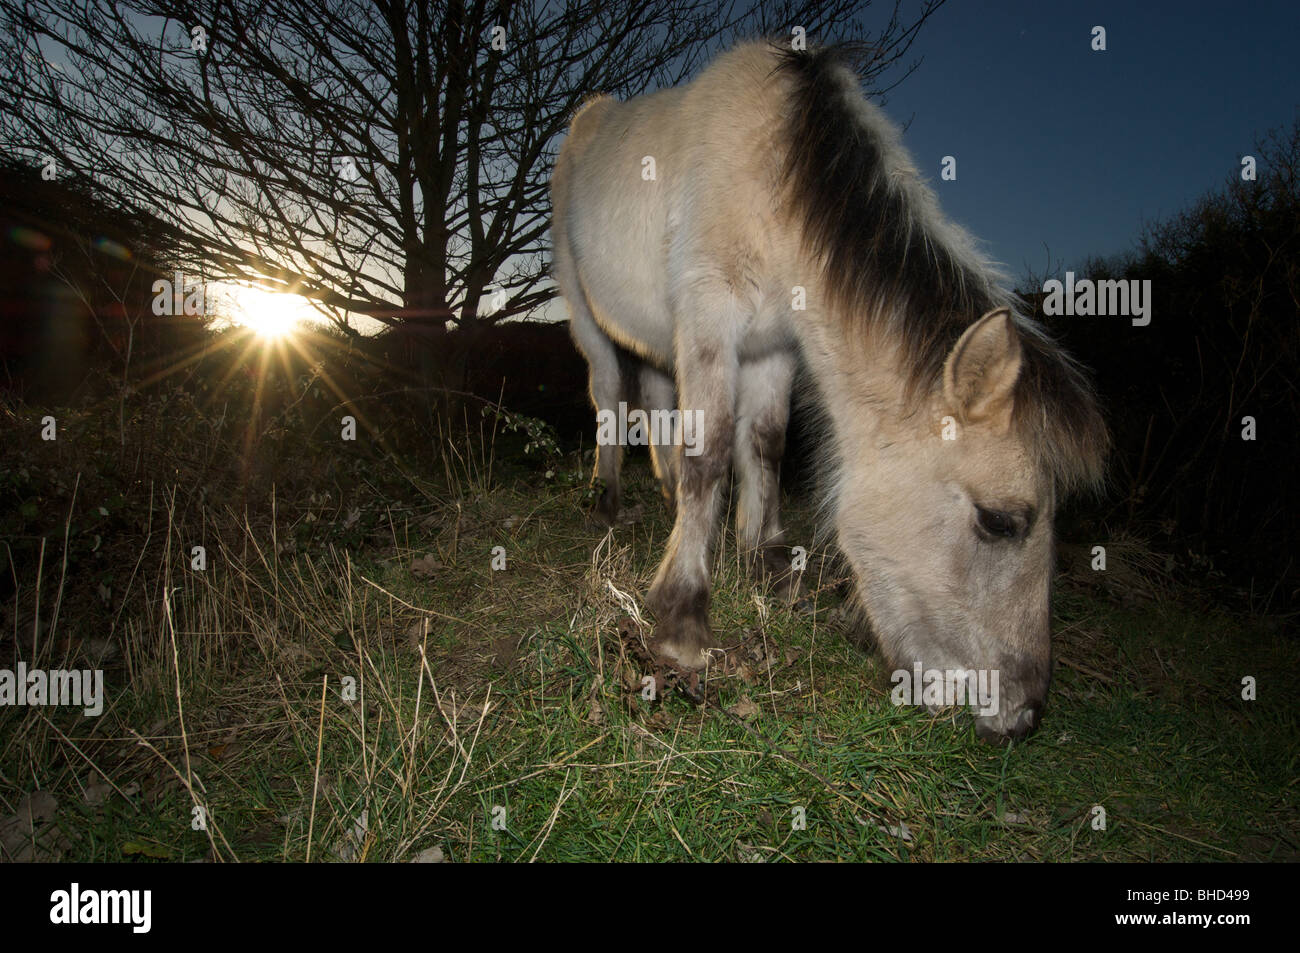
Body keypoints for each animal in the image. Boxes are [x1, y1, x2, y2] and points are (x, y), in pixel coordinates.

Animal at [548, 42, 1107, 743]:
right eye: (1000, 521)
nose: (1024, 716)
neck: (777, 183)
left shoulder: (776, 346)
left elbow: (764, 443)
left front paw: (762, 558)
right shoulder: (709, 314)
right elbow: (713, 450)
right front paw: (682, 620)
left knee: (655, 396)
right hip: (585, 312)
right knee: (610, 397)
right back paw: (608, 500)